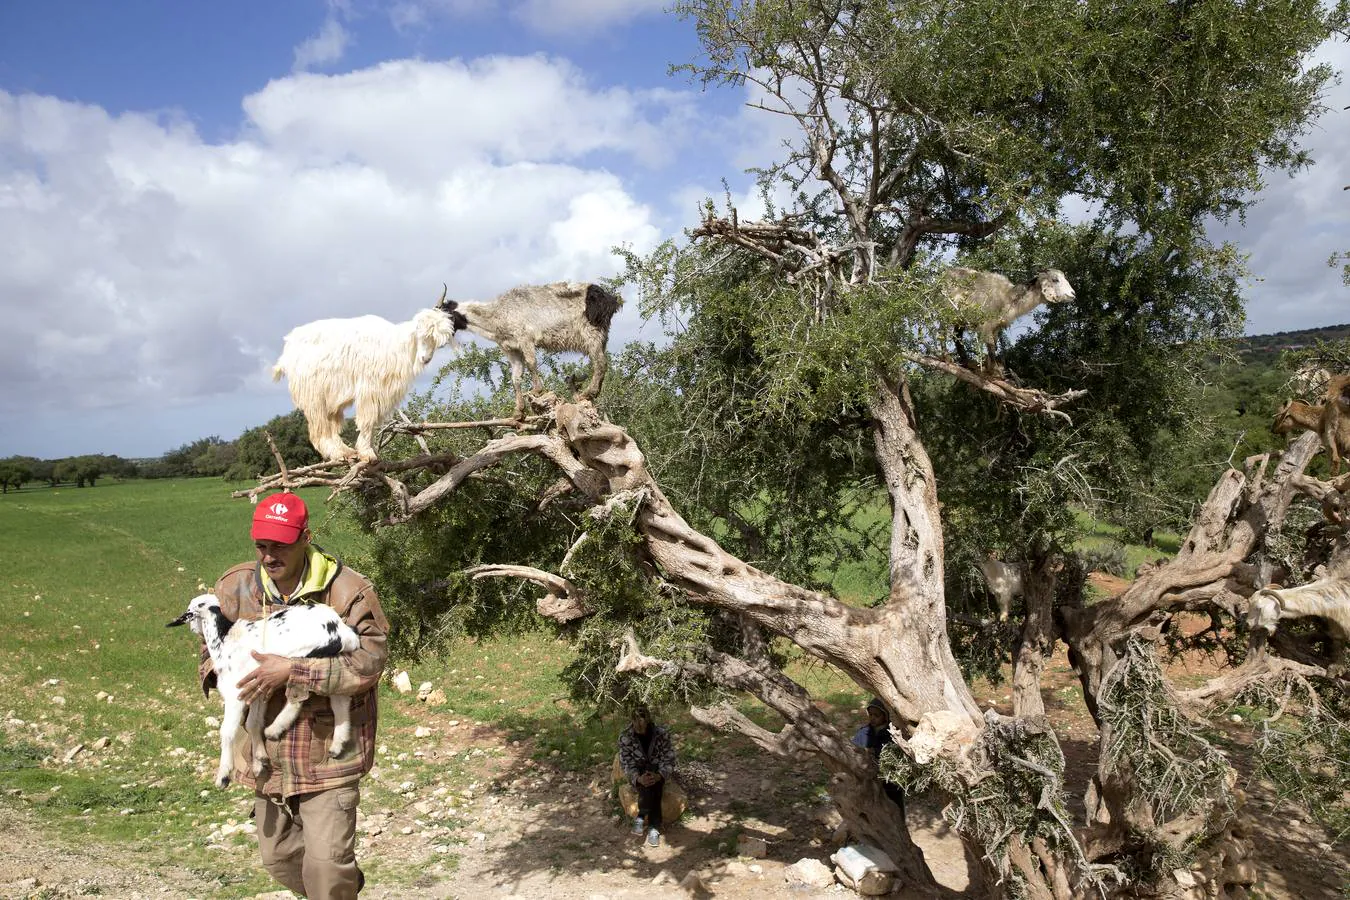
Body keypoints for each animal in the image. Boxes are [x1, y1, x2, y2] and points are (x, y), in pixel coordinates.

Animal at [166, 599, 361, 788]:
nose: (192, 629)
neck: (225, 639)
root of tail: (342, 629)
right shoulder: (257, 690)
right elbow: (253, 722)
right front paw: (260, 761)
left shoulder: (236, 692)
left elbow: (227, 730)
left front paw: (223, 775)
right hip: (331, 659)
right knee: (339, 698)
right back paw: (337, 744)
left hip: (299, 657)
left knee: (299, 695)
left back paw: (275, 729)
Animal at [271, 295, 461, 461]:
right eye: (421, 335)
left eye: (438, 343)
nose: (425, 359)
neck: (397, 346)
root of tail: (287, 351)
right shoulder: (370, 388)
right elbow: (367, 420)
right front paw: (368, 454)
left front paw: (370, 452)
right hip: (313, 394)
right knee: (318, 428)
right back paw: (337, 453)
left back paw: (346, 451)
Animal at [432, 282, 621, 418]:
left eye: (444, 315)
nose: (437, 341)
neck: (497, 314)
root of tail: (610, 299)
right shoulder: (511, 349)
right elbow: (515, 377)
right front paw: (518, 411)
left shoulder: (525, 339)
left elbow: (531, 363)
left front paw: (537, 390)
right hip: (602, 336)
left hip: (592, 333)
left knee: (600, 362)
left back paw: (588, 393)